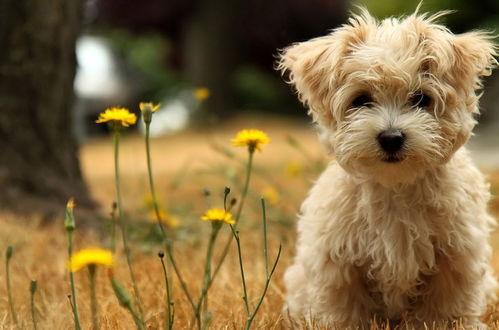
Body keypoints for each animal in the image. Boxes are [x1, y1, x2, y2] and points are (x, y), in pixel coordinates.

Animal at [280, 8, 498, 330]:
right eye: (361, 100)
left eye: (420, 98)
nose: (391, 137)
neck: (396, 186)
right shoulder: (337, 259)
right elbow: (344, 308)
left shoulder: (457, 255)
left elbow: (444, 308)